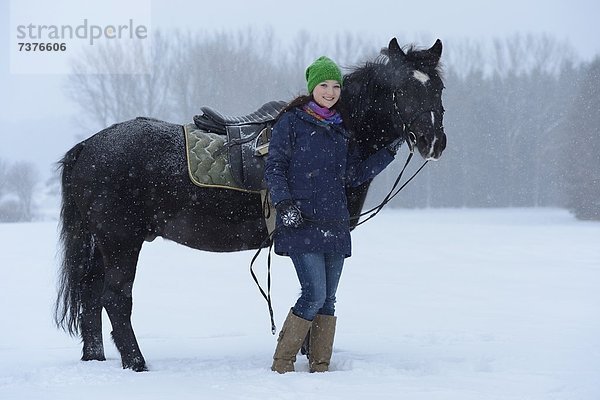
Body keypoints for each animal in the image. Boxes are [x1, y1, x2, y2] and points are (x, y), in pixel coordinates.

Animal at [55, 39, 446, 370]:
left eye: (438, 88)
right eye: (402, 89)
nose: (432, 141)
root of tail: (89, 146)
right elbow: (314, 294)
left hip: (102, 243)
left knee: (91, 296)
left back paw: (95, 358)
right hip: (121, 240)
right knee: (116, 299)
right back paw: (136, 363)